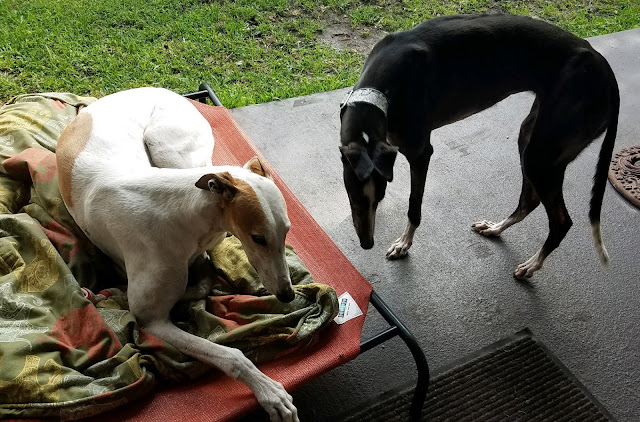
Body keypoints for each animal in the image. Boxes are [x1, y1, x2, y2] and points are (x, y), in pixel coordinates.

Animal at [58, 87, 298, 420]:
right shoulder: (151, 319)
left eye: (287, 230)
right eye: (258, 238)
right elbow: (232, 355)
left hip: (172, 152)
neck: (186, 214)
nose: (288, 295)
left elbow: (204, 280)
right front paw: (270, 392)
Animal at [342, 13, 616, 278]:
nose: (366, 244)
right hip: (530, 138)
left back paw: (532, 265)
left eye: (375, 197)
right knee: (529, 201)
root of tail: (607, 74)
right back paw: (495, 228)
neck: (383, 86)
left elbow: (414, 206)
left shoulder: (420, 153)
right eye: (352, 196)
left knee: (562, 221)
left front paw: (403, 244)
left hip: (541, 155)